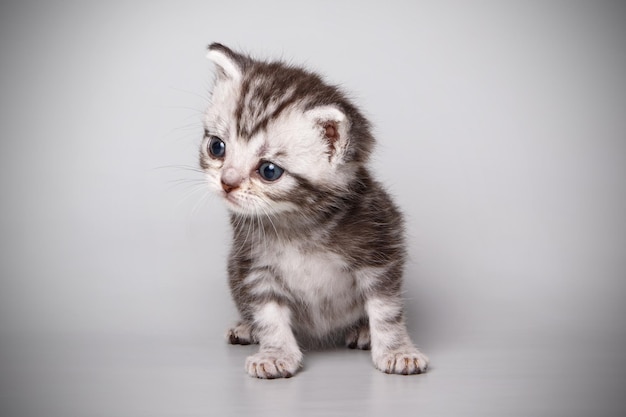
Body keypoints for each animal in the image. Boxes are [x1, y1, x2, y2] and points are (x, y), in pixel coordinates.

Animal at [201, 44, 428, 378]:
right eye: (217, 147)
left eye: (269, 170)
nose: (227, 182)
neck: (296, 224)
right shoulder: (253, 265)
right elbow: (269, 315)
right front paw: (275, 353)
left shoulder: (380, 251)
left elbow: (386, 311)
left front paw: (397, 350)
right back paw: (247, 327)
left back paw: (363, 331)